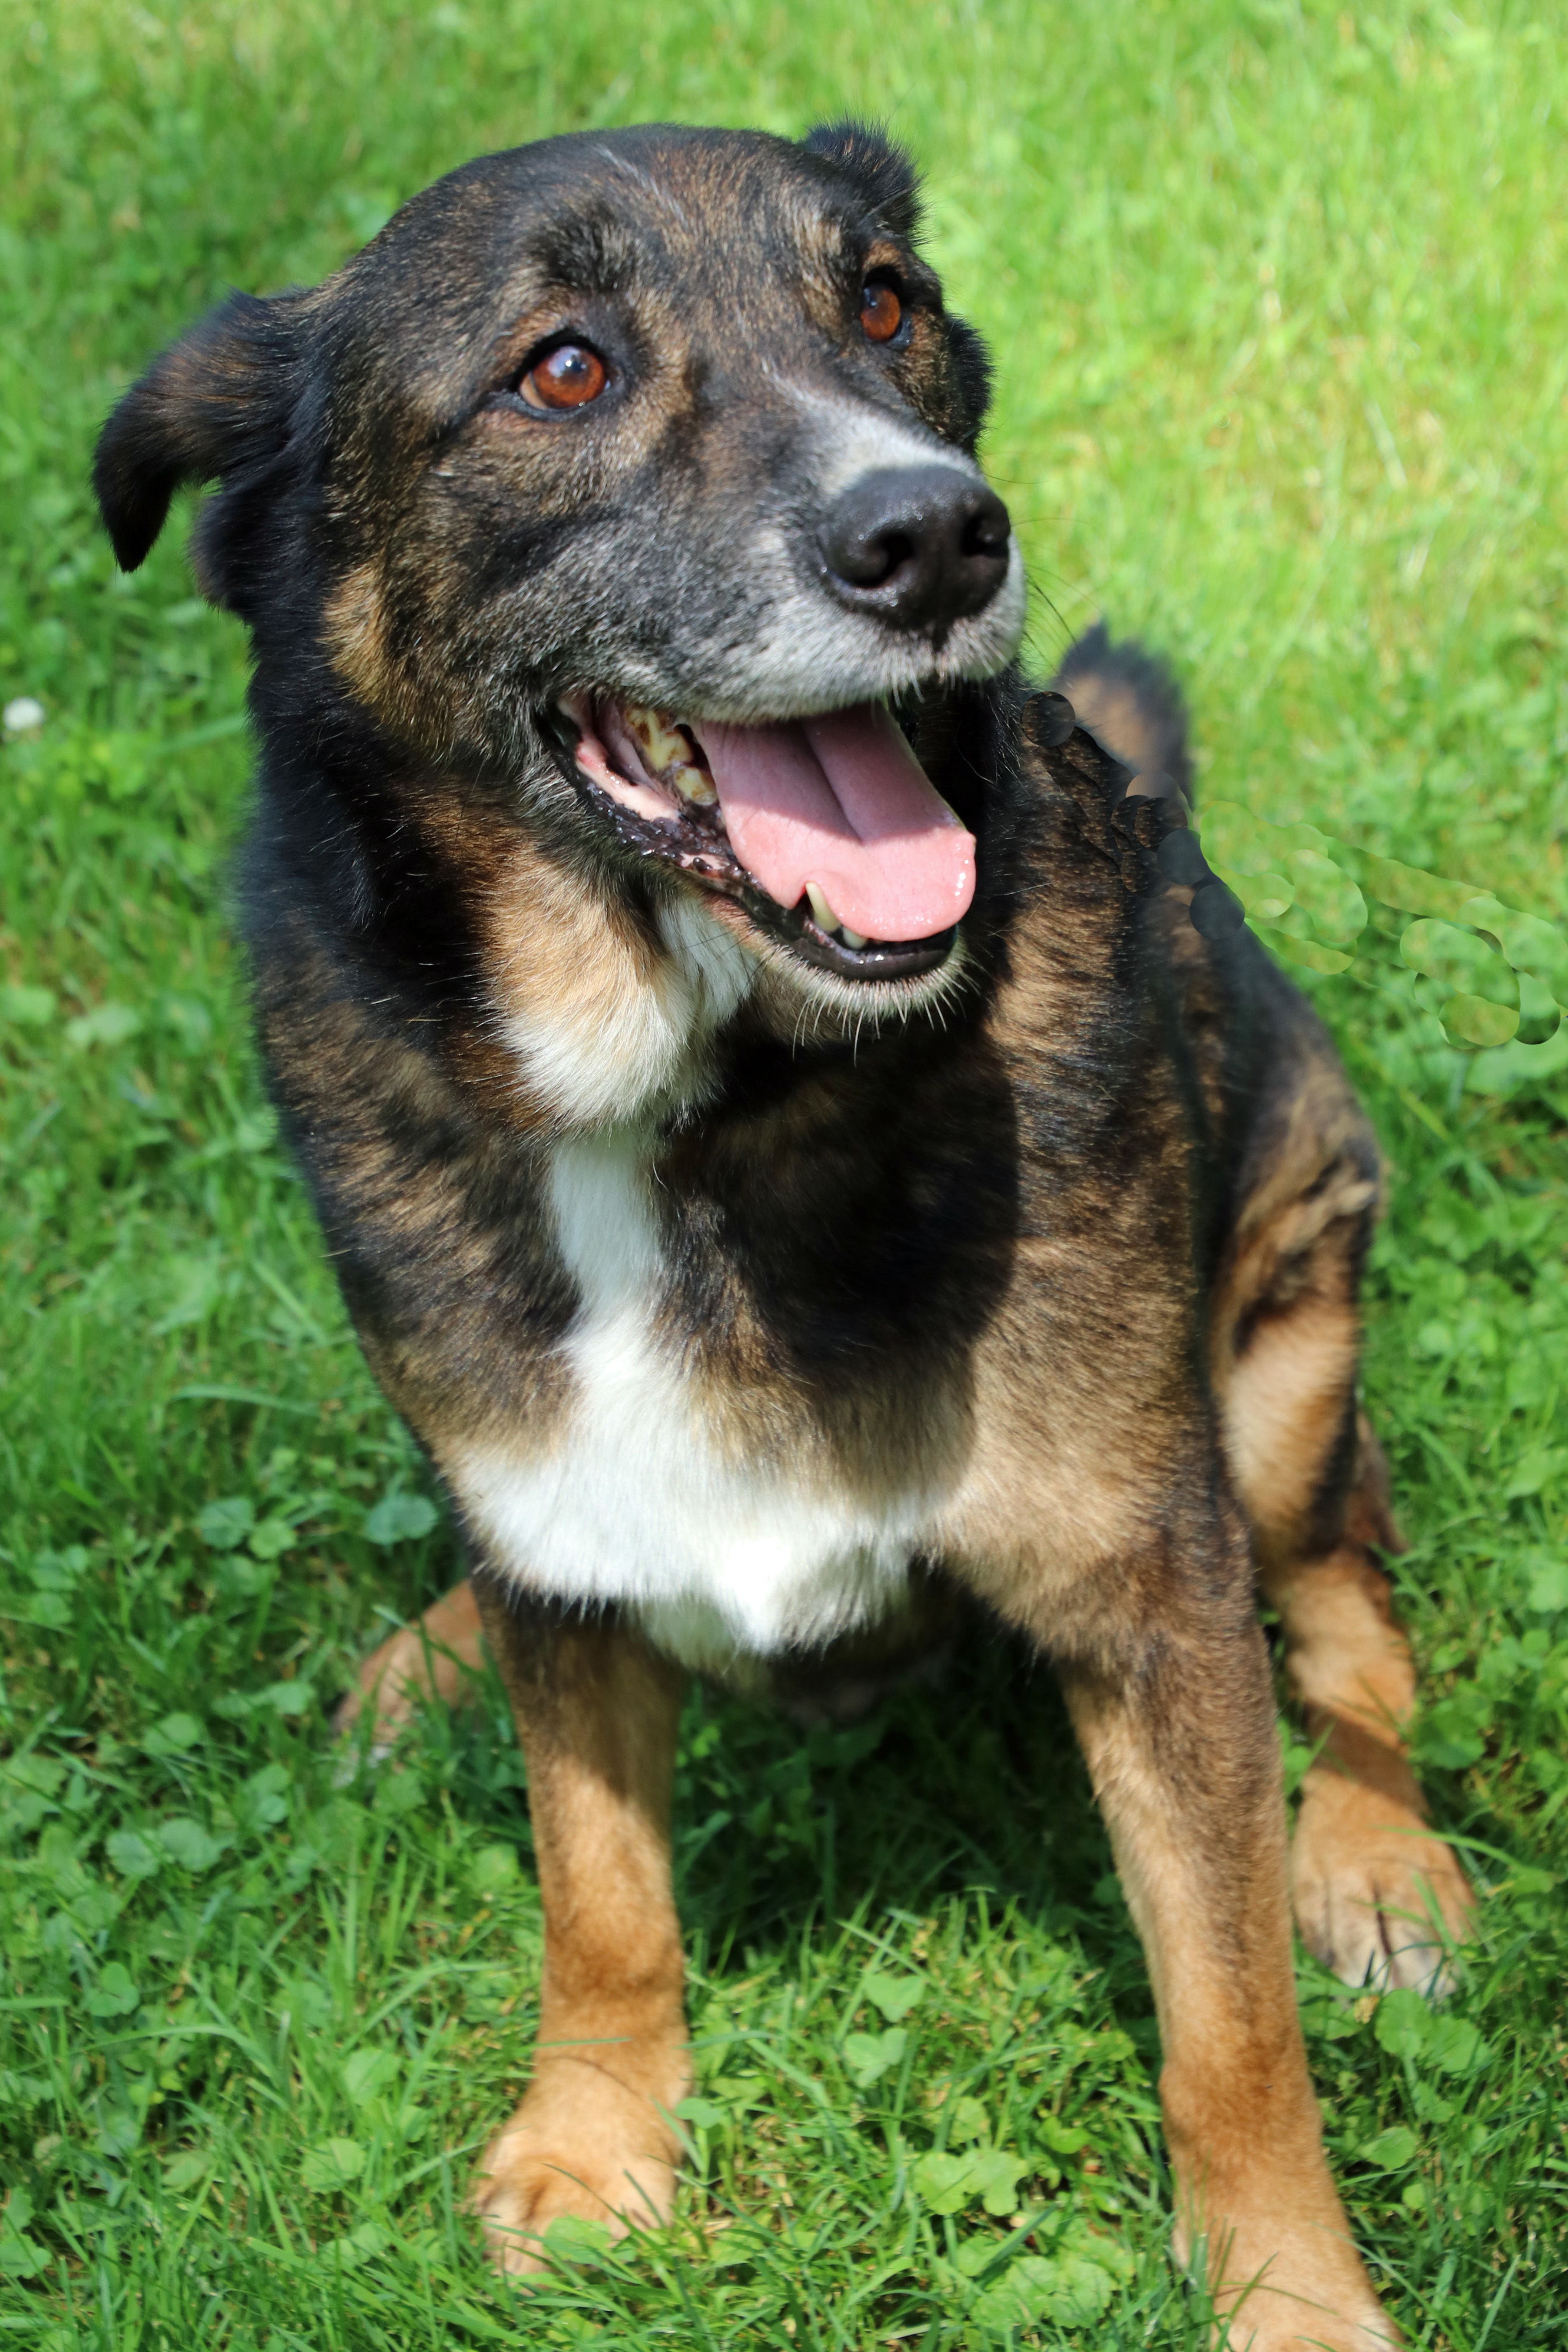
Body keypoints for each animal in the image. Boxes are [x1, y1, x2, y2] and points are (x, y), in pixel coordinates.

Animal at [95, 119, 1476, 2343]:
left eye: (886, 300)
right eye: (561, 369)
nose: (938, 541)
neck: (687, 1101)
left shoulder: (1150, 1579)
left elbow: (1226, 2012)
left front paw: (1291, 2294)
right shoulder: (556, 1518)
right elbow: (598, 1893)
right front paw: (591, 2139)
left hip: (1286, 1339)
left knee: (1355, 1613)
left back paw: (1371, 1856)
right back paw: (421, 1655)